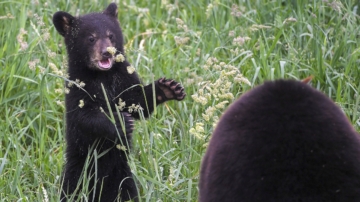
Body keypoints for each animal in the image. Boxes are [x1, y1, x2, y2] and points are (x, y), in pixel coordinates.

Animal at [52, 3, 186, 202]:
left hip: (123, 177)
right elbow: (85, 115)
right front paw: (120, 122)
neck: (102, 76)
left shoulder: (123, 77)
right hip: (78, 170)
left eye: (111, 35)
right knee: (71, 189)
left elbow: (138, 103)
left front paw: (168, 88)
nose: (107, 52)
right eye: (91, 38)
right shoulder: (77, 87)